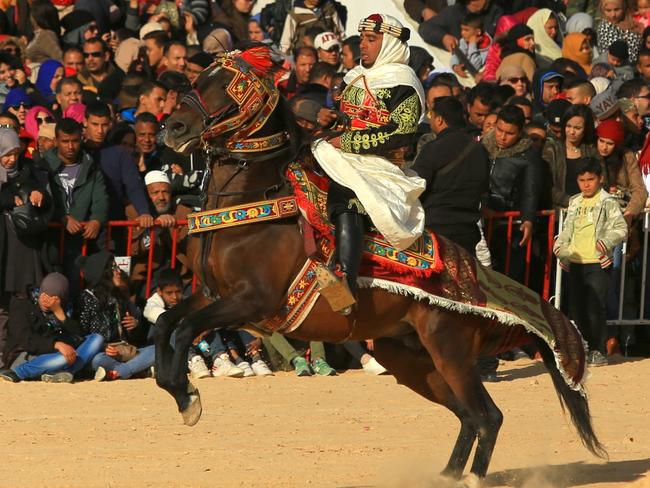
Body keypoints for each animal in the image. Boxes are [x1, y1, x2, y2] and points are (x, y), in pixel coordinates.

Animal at [156, 47, 604, 482]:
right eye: (198, 78)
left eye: (228, 86)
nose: (173, 128)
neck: (251, 207)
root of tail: (474, 280)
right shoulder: (213, 295)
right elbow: (166, 324)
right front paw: (179, 391)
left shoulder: (253, 301)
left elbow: (185, 329)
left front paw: (188, 397)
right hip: (409, 357)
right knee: (469, 417)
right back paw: (447, 475)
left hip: (450, 351)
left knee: (487, 416)